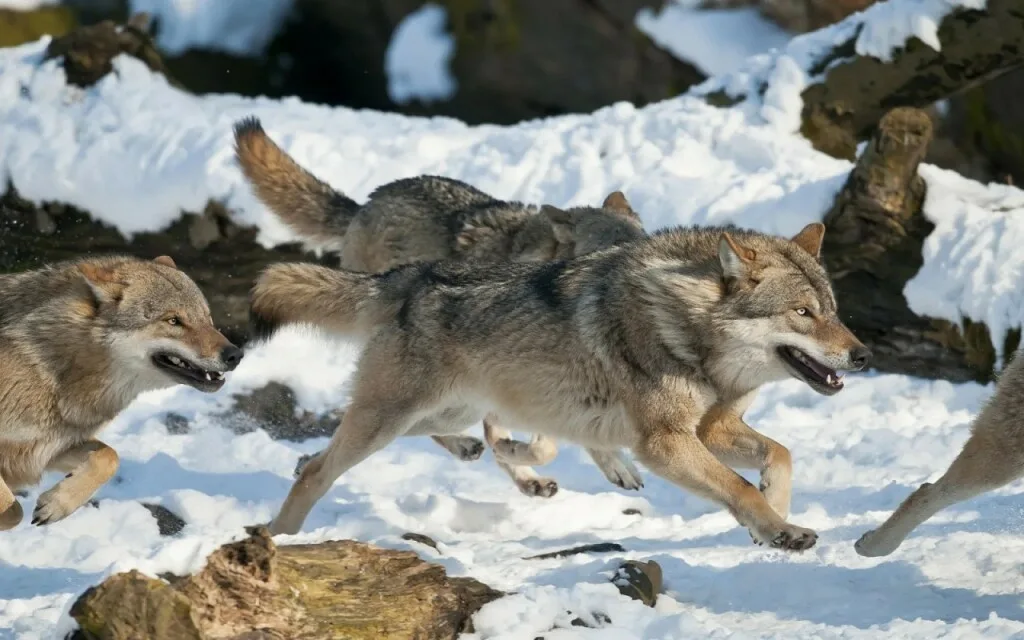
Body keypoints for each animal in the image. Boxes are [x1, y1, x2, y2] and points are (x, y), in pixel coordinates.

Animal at [0, 254, 241, 528]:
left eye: (206, 318)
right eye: (173, 321)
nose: (235, 355)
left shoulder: (51, 449)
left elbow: (110, 457)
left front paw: (57, 504)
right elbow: (13, 512)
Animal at [251, 222, 868, 544]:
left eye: (834, 312)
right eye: (802, 313)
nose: (862, 356)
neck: (691, 332)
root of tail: (409, 277)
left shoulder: (713, 429)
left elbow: (780, 456)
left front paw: (777, 519)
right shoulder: (664, 443)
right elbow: (738, 487)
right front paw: (780, 529)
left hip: (441, 410)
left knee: (451, 438)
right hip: (390, 419)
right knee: (318, 469)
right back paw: (279, 537)